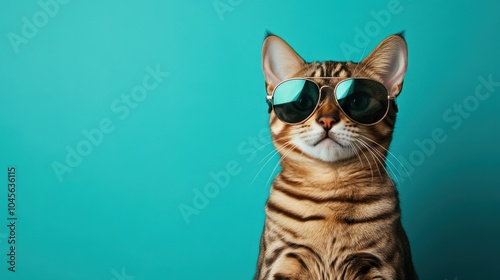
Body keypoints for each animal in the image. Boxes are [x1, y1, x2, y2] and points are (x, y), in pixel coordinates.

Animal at [254, 33, 418, 280]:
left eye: (357, 101)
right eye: (302, 102)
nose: (327, 119)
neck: (330, 191)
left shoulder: (381, 266)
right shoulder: (281, 262)